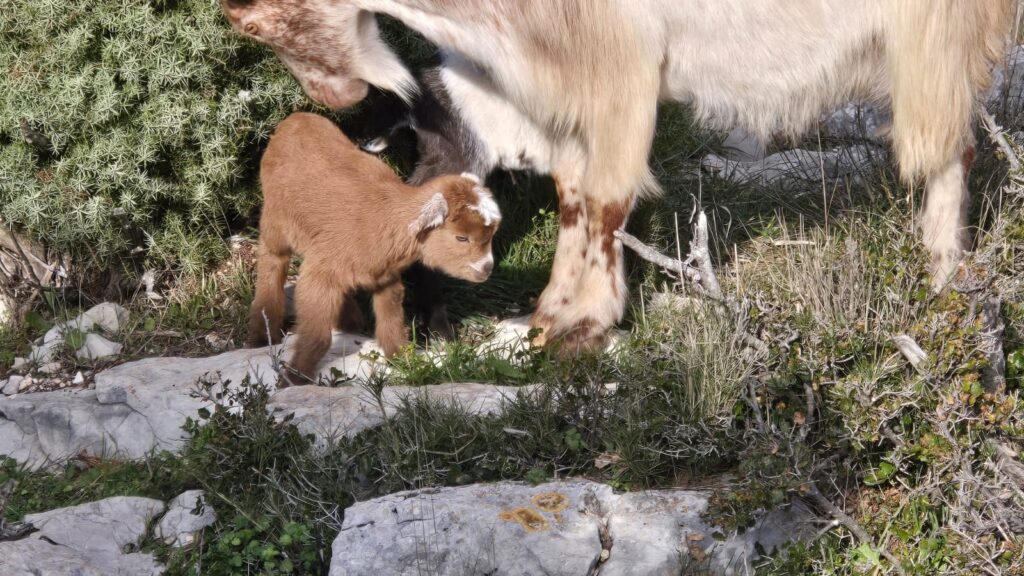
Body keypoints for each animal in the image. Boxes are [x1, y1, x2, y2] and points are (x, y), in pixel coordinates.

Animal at [223, 0, 1012, 352]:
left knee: (949, 148)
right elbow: (575, 197)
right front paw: (547, 315)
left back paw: (945, 284)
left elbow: (603, 197)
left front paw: (581, 326)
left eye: (253, 24)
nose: (337, 101)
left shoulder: (618, 66)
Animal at [248, 112, 501, 385]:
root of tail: (296, 117)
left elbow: (391, 323)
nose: (487, 268)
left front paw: (403, 362)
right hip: (275, 219)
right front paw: (294, 378)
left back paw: (350, 321)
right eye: (461, 238)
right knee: (272, 262)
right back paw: (261, 334)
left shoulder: (386, 279)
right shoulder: (319, 273)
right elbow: (318, 336)